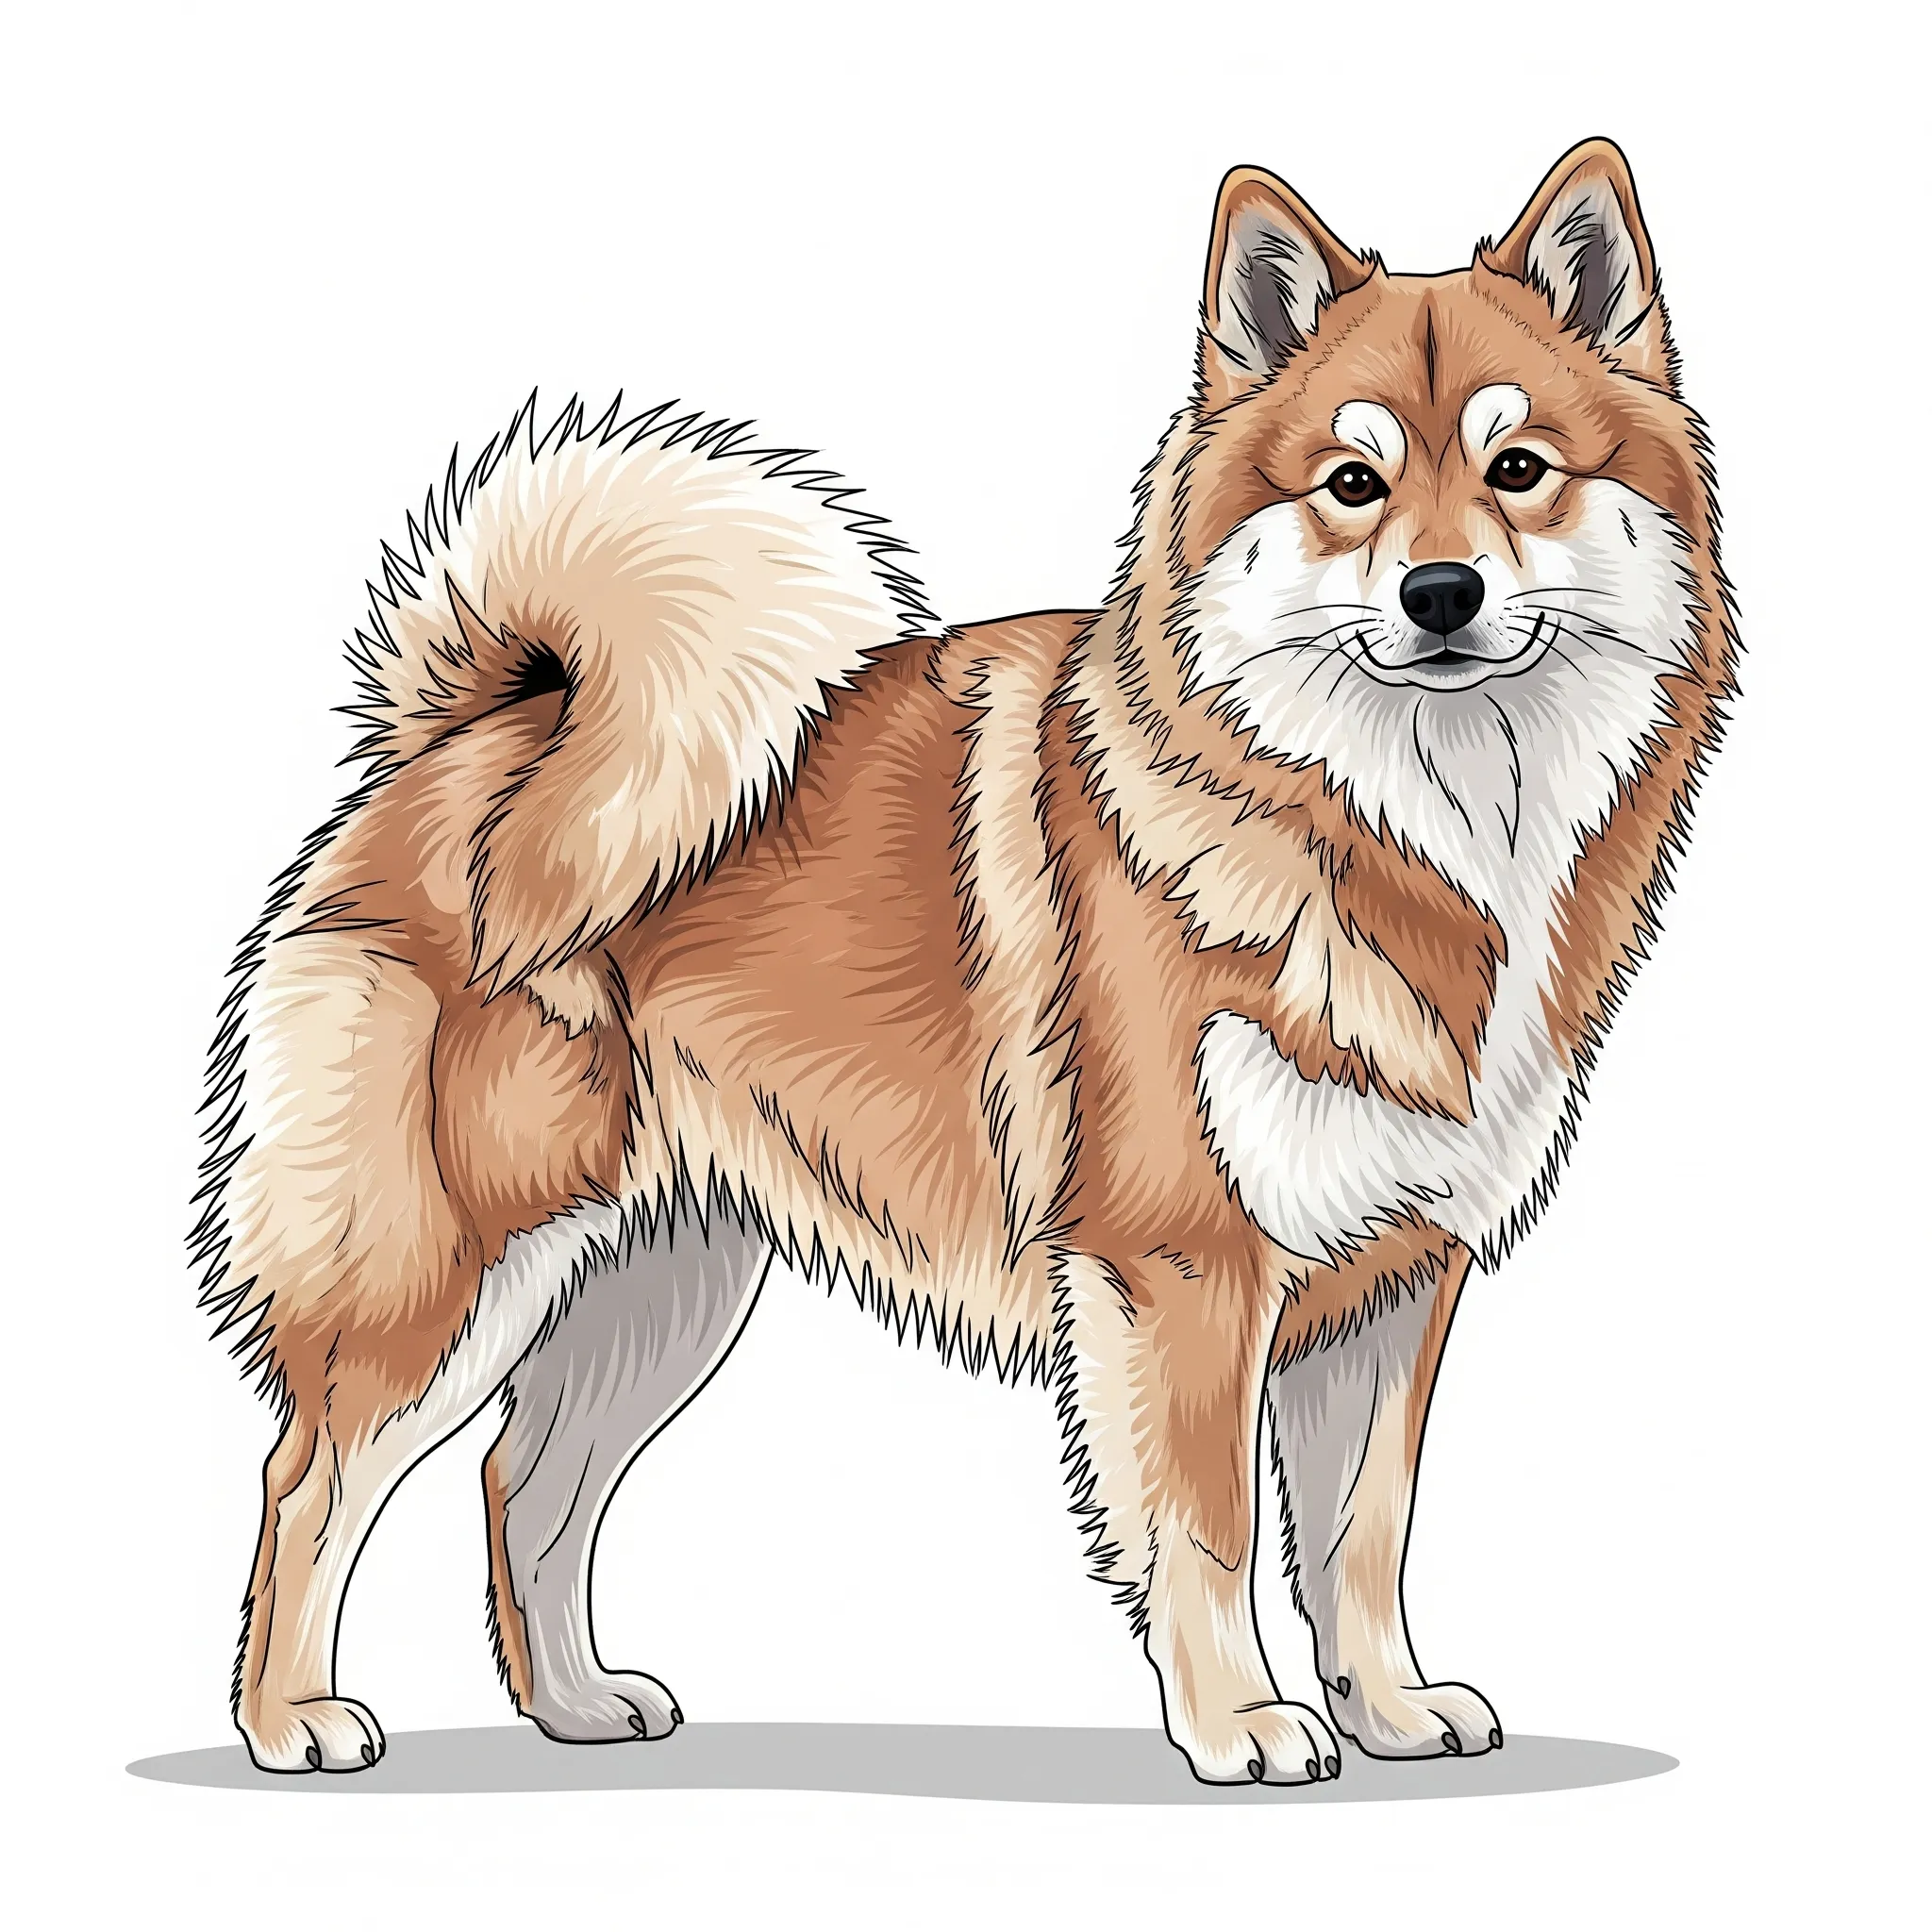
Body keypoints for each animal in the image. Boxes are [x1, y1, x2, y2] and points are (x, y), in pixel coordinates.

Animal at [195, 137, 1735, 1783]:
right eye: (1351, 486)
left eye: (1519, 472)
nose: (1441, 593)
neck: (1404, 826)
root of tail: (484, 729)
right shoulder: (1180, 1263)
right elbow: (1210, 1529)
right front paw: (1246, 1724)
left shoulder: (1396, 1274)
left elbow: (1362, 1534)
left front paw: (1388, 1707)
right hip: (461, 1261)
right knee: (309, 1479)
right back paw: (289, 1719)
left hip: (666, 1277)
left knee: (525, 1478)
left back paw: (580, 1706)